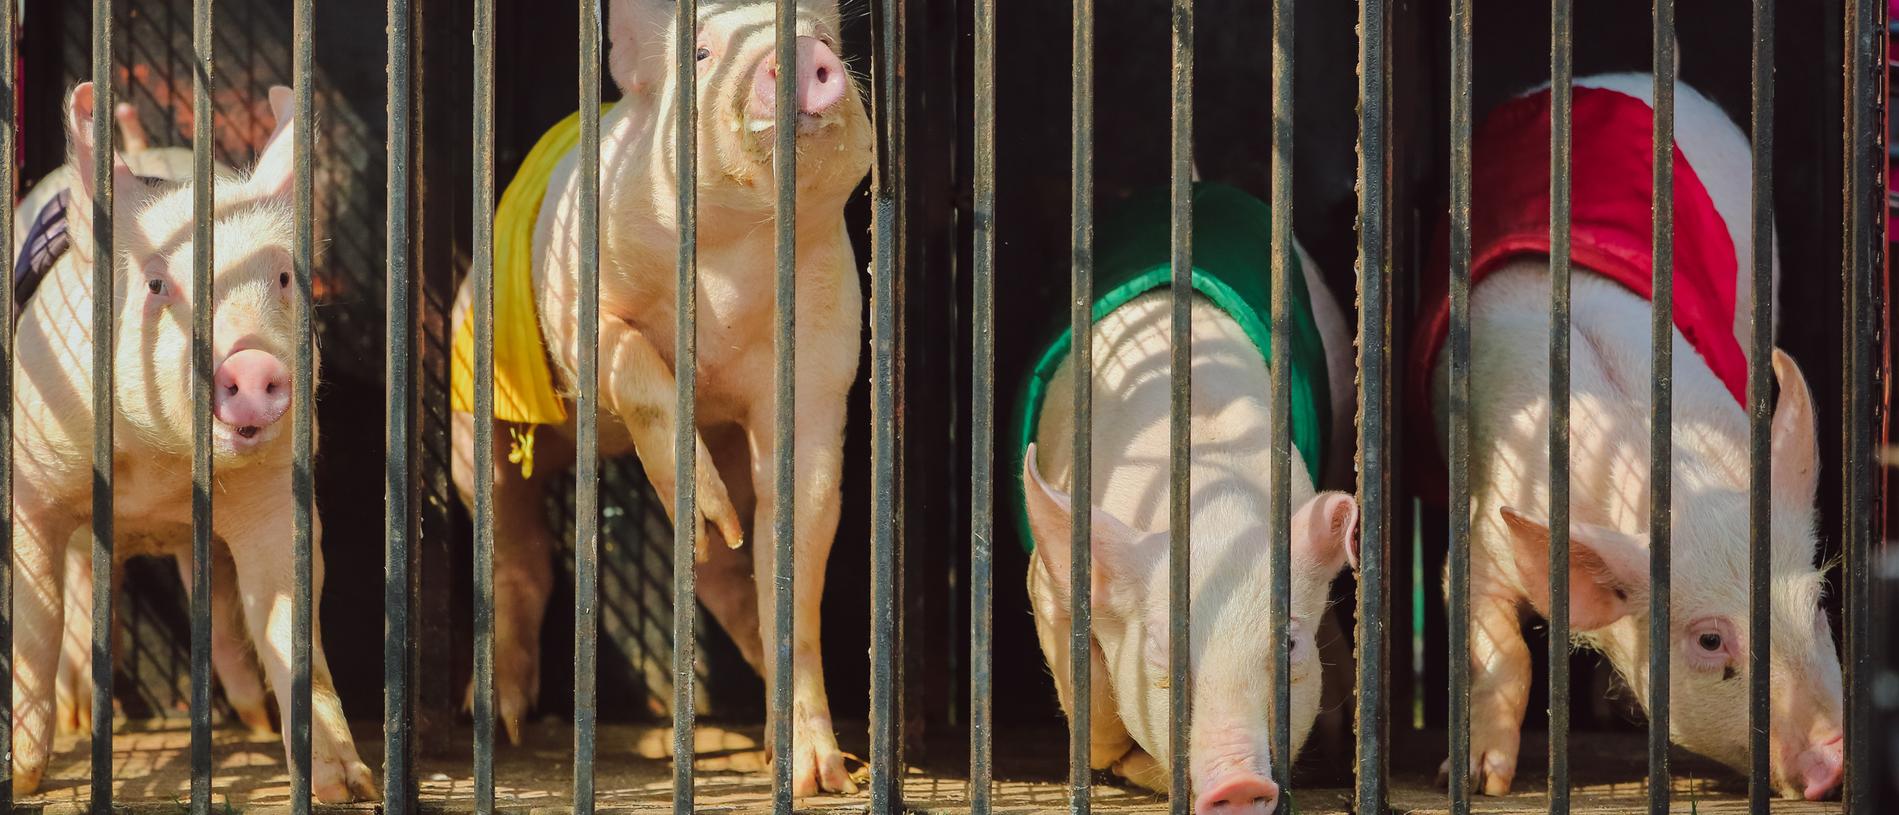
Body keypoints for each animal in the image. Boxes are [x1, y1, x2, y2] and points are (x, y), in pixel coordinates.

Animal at [9, 84, 374, 801]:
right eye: (156, 286)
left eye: (282, 278)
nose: (253, 363)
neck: (157, 467)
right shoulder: (32, 483)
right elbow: (37, 626)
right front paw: (23, 777)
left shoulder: (276, 496)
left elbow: (290, 624)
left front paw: (349, 787)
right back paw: (80, 716)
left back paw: (251, 718)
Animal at [448, 0, 877, 794]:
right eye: (702, 53)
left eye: (827, 38)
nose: (806, 55)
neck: (729, 267)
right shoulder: (575, 307)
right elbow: (630, 363)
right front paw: (699, 502)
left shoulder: (822, 361)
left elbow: (796, 537)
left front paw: (820, 780)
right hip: (474, 417)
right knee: (515, 550)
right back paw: (500, 720)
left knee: (731, 576)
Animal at [1025, 200, 1367, 809]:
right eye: (1164, 646)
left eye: (1288, 643)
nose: (1240, 782)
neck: (1210, 500)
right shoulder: (1045, 579)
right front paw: (1118, 762)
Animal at [1428, 73, 1838, 797]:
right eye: (1710, 641)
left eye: (1818, 602)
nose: (1835, 759)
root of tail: (1628, 76)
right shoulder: (1480, 531)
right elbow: (1502, 641)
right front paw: (1478, 780)